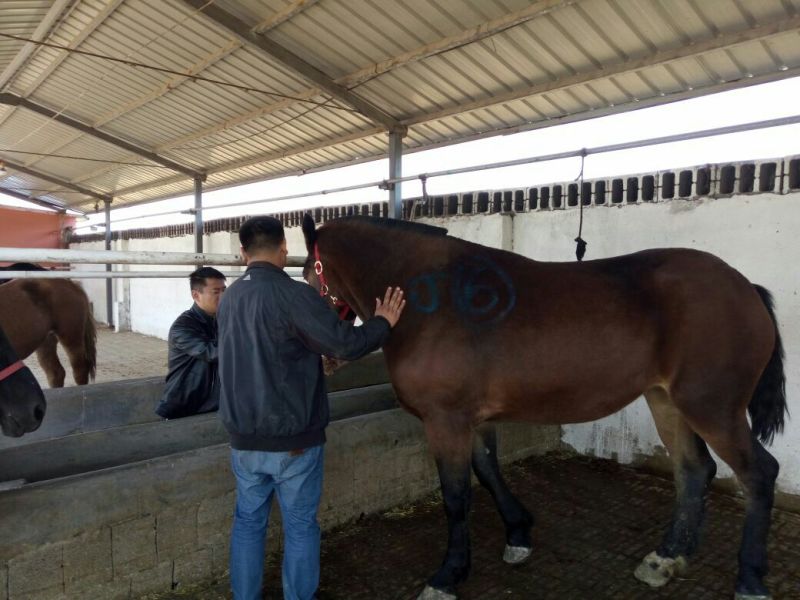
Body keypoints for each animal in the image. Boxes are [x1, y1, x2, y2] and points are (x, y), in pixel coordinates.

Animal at [301, 215, 786, 600]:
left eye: (306, 276)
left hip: (712, 408)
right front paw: (518, 533)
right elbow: (488, 470)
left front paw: (448, 575)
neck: (431, 295)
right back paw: (665, 558)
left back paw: (749, 580)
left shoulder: (445, 420)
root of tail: (744, 287)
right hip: (666, 401)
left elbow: (456, 496)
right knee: (693, 471)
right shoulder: (471, 419)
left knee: (758, 474)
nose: (322, 354)